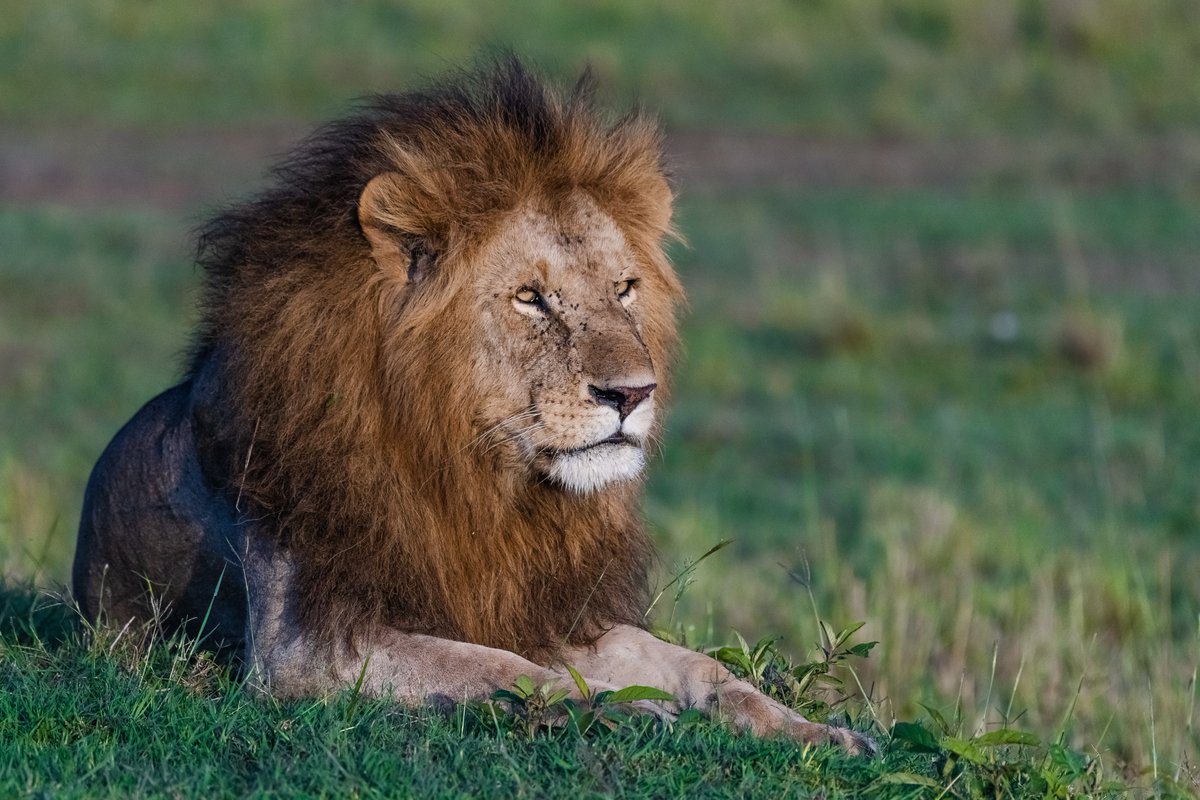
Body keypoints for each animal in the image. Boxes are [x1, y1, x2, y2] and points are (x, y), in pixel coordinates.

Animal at [72, 59, 873, 755]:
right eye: (530, 298)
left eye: (624, 288)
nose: (633, 393)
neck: (482, 479)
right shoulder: (303, 642)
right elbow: (494, 666)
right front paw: (621, 709)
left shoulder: (543, 607)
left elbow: (696, 665)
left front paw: (819, 731)